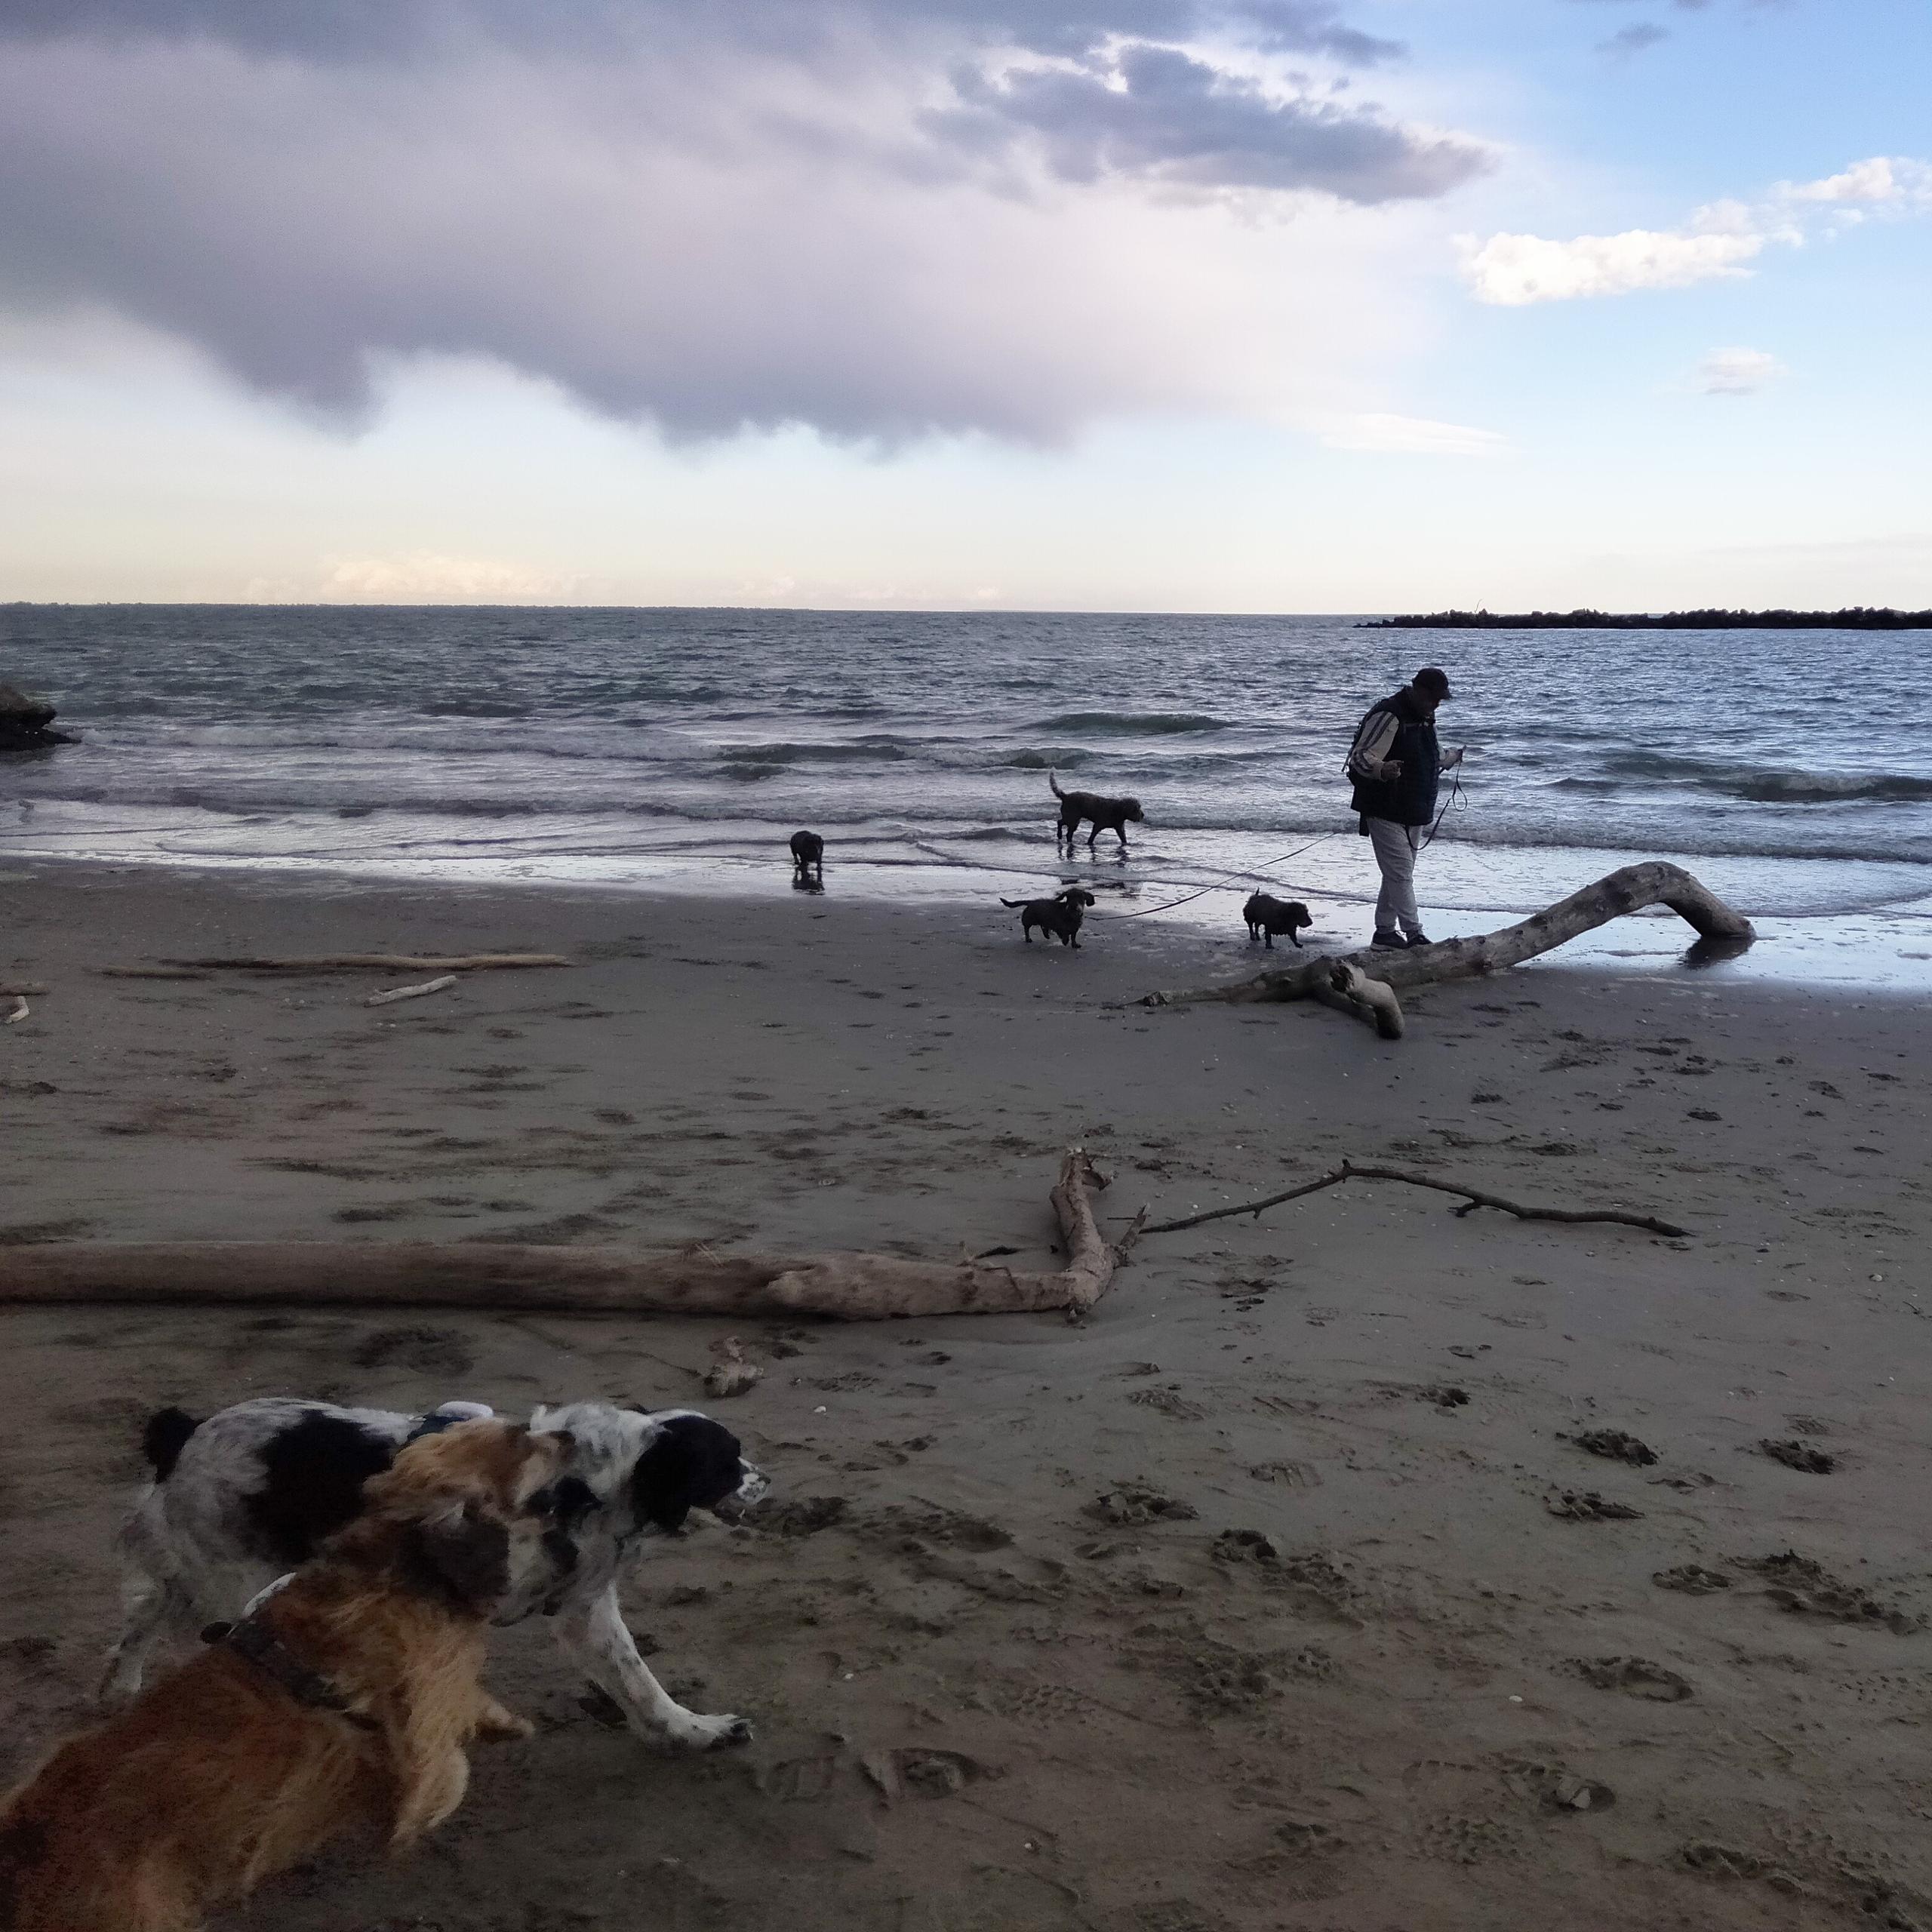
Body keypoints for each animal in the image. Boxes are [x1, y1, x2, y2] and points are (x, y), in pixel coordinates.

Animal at [0, 1422, 571, 1932]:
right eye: (520, 1438)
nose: (565, 1436)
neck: (405, 1564)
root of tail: (25, 1837)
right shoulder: (421, 1724)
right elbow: (448, 1772)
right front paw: (412, 1819)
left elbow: (473, 1705)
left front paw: (505, 1726)